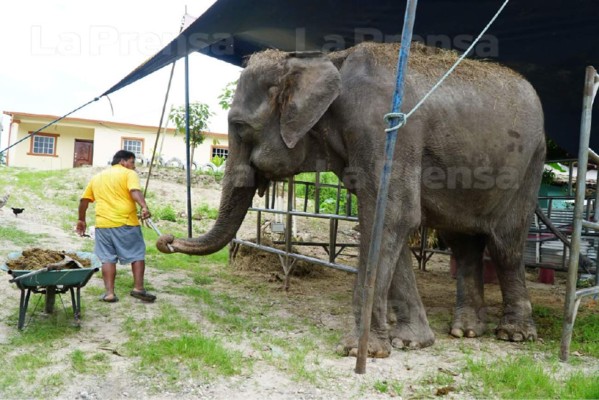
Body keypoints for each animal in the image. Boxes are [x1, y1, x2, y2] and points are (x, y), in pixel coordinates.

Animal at [159, 42, 548, 358]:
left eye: (239, 126)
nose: (166, 240)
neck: (328, 60)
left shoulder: (384, 128)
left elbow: (392, 215)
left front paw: (360, 350)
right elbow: (385, 220)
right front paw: (410, 342)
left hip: (531, 163)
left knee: (506, 244)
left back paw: (513, 335)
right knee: (463, 242)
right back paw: (466, 331)